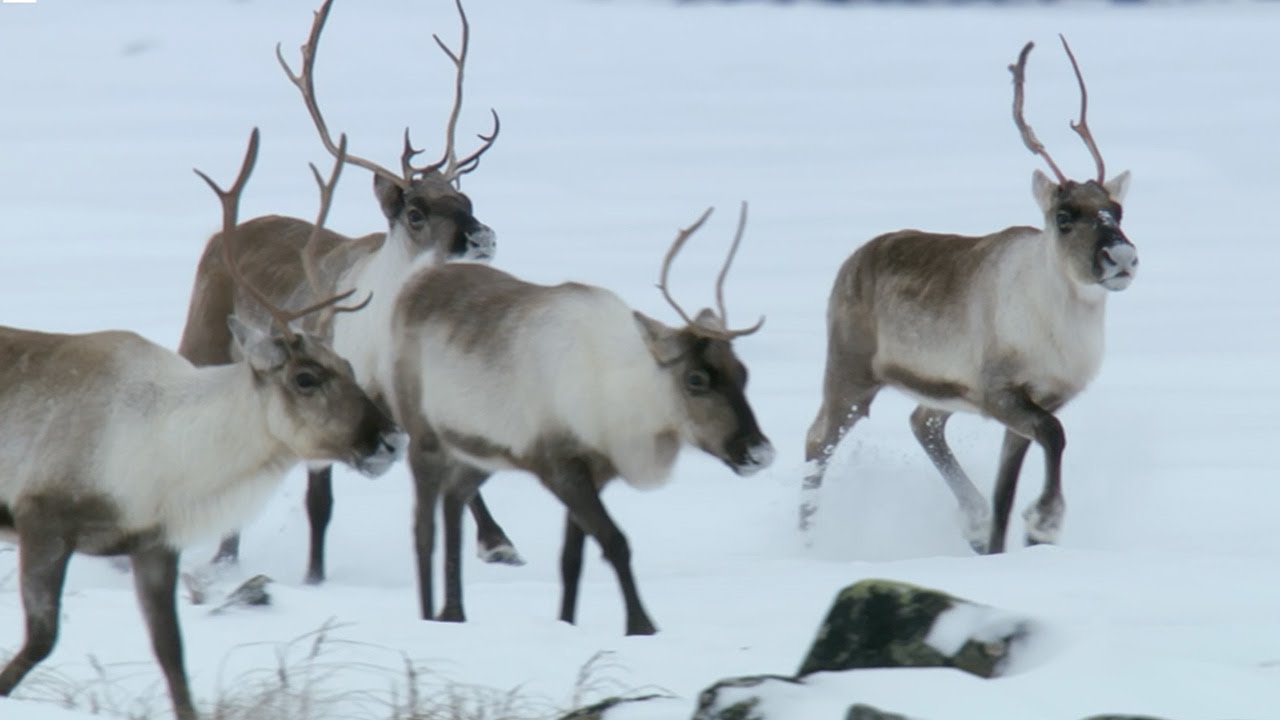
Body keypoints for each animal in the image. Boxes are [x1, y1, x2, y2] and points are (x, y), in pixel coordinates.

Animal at [0, 128, 405, 720]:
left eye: (350, 366)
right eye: (306, 377)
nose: (392, 439)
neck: (175, 454)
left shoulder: (153, 543)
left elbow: (173, 657)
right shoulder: (44, 516)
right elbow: (39, 641)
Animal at [177, 0, 519, 586]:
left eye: (466, 198)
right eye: (416, 211)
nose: (483, 238)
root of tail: (226, 235)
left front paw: (499, 545)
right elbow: (320, 504)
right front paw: (315, 578)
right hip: (202, 351)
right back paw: (222, 560)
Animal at [385, 203, 775, 635]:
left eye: (743, 372)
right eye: (696, 379)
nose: (759, 452)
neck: (620, 400)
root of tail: (417, 279)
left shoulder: (595, 472)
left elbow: (571, 559)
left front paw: (567, 622)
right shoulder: (561, 467)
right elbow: (616, 542)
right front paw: (642, 626)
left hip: (482, 452)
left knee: (454, 499)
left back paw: (454, 613)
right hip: (425, 437)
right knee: (424, 530)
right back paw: (428, 616)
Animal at [801, 37, 1138, 555]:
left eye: (1116, 211)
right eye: (1064, 216)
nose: (1122, 256)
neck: (1060, 331)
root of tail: (853, 259)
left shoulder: (1034, 403)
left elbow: (1007, 490)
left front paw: (1011, 537)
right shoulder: (1002, 393)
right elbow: (1055, 436)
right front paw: (1044, 521)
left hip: (941, 392)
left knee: (922, 421)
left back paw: (974, 524)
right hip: (851, 372)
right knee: (818, 439)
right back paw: (806, 540)